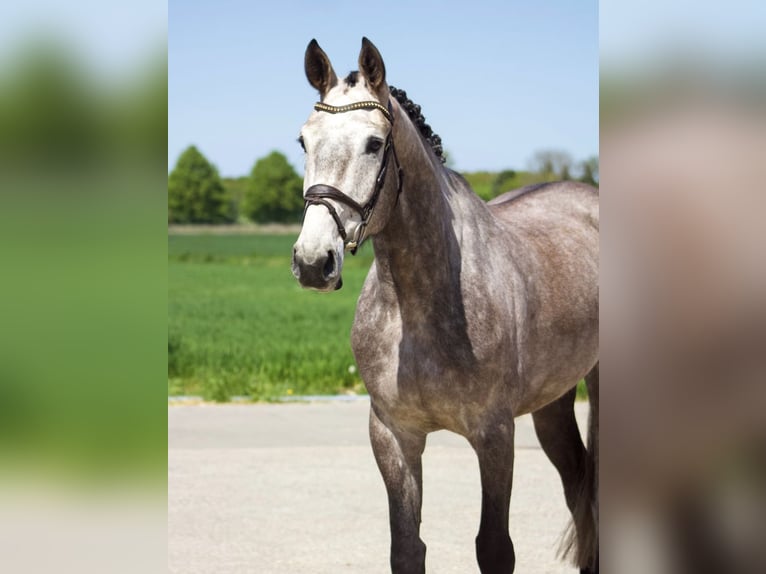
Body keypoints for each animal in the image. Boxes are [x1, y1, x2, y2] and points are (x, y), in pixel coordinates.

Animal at [291, 37, 599, 574]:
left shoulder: (494, 435)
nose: (313, 261)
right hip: (553, 401)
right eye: (304, 142)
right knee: (577, 485)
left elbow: (494, 547)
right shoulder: (394, 434)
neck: (417, 307)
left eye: (375, 144)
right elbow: (406, 547)